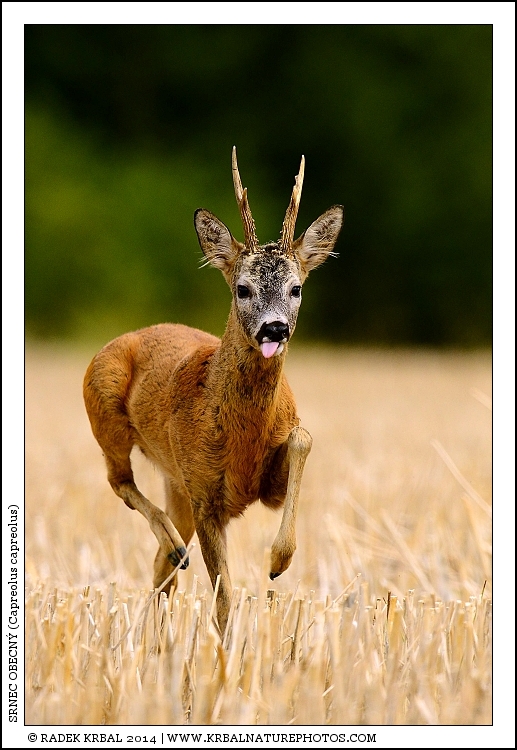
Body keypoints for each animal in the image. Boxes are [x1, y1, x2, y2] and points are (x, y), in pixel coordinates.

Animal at [83, 148, 344, 634]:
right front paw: (226, 651)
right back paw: (173, 548)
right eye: (242, 288)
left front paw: (279, 561)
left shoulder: (266, 483)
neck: (243, 437)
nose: (274, 328)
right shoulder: (205, 496)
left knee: (159, 573)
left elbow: (303, 438)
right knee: (119, 481)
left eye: (297, 288)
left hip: (174, 480)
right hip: (107, 417)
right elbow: (224, 599)